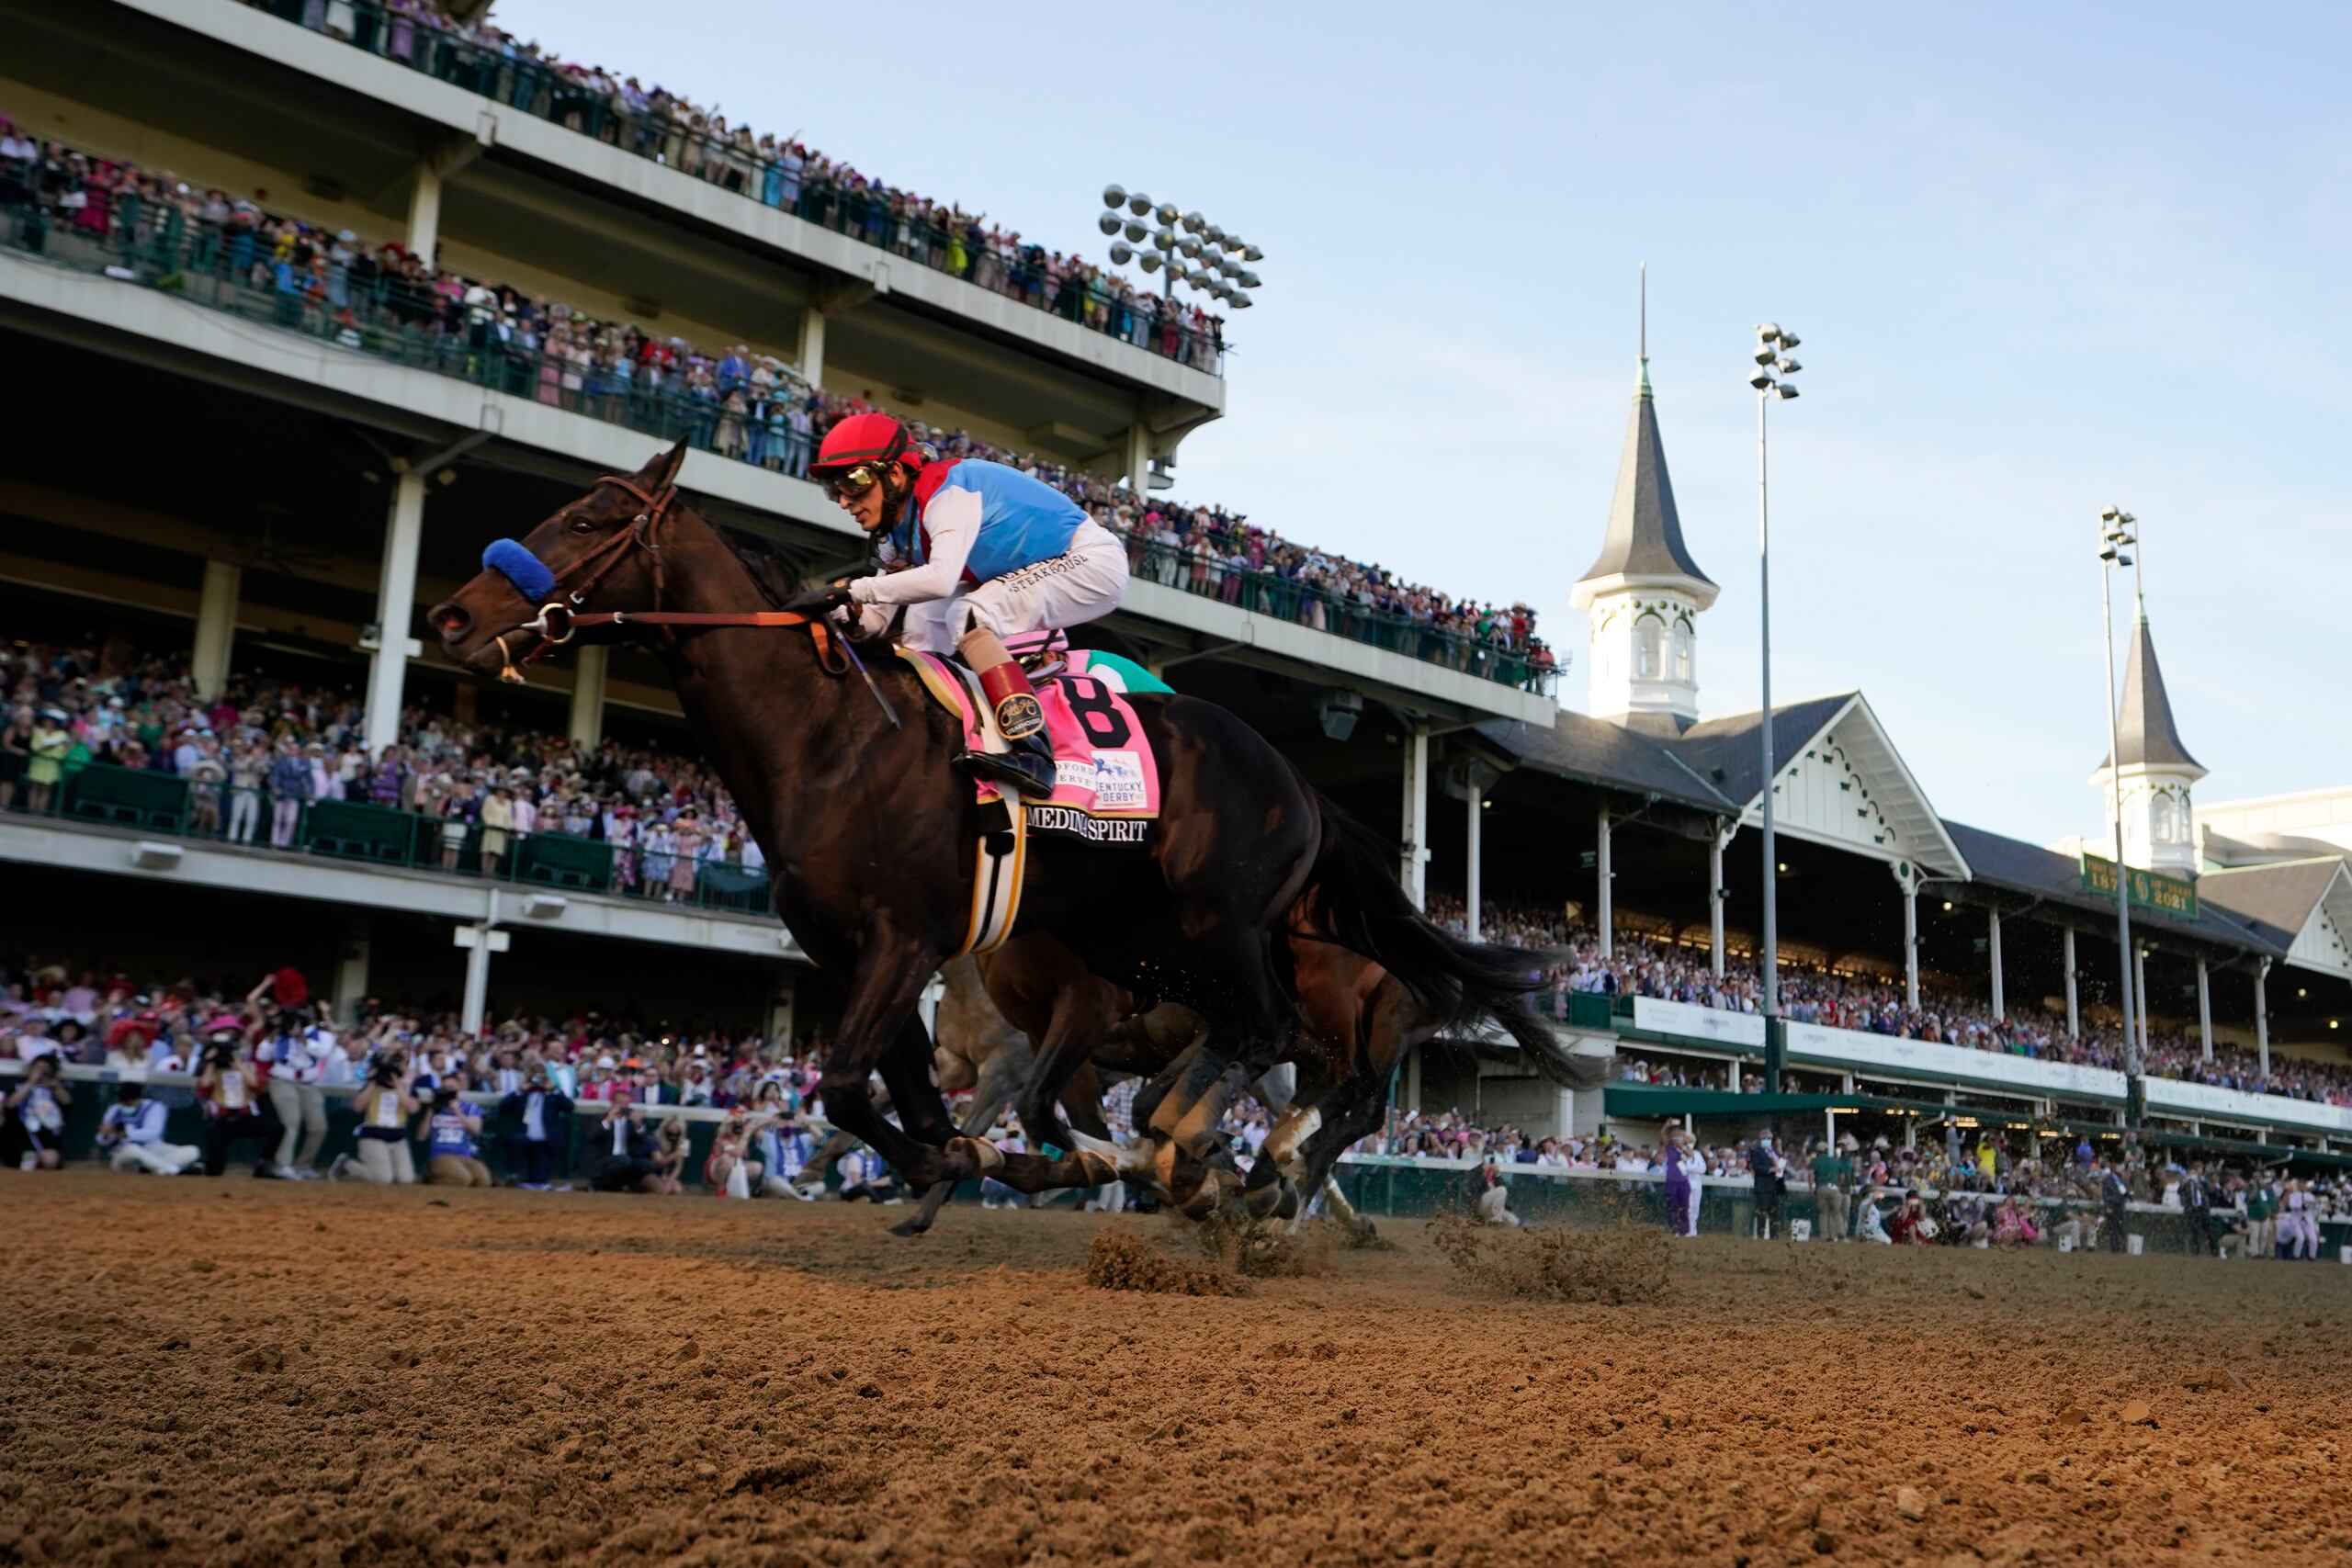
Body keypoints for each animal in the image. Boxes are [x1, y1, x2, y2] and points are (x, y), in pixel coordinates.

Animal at [437, 446, 1580, 1222]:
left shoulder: (906, 942)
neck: (831, 738)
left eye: (587, 517)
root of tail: (1298, 779)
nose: (452, 616)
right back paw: (1200, 1163)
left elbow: (853, 1087)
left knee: (1292, 1058)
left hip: (1228, 931)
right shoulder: (861, 955)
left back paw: (1222, 1167)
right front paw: (955, 1167)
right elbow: (889, 1098)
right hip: (1146, 940)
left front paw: (976, 1166)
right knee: (1258, 1060)